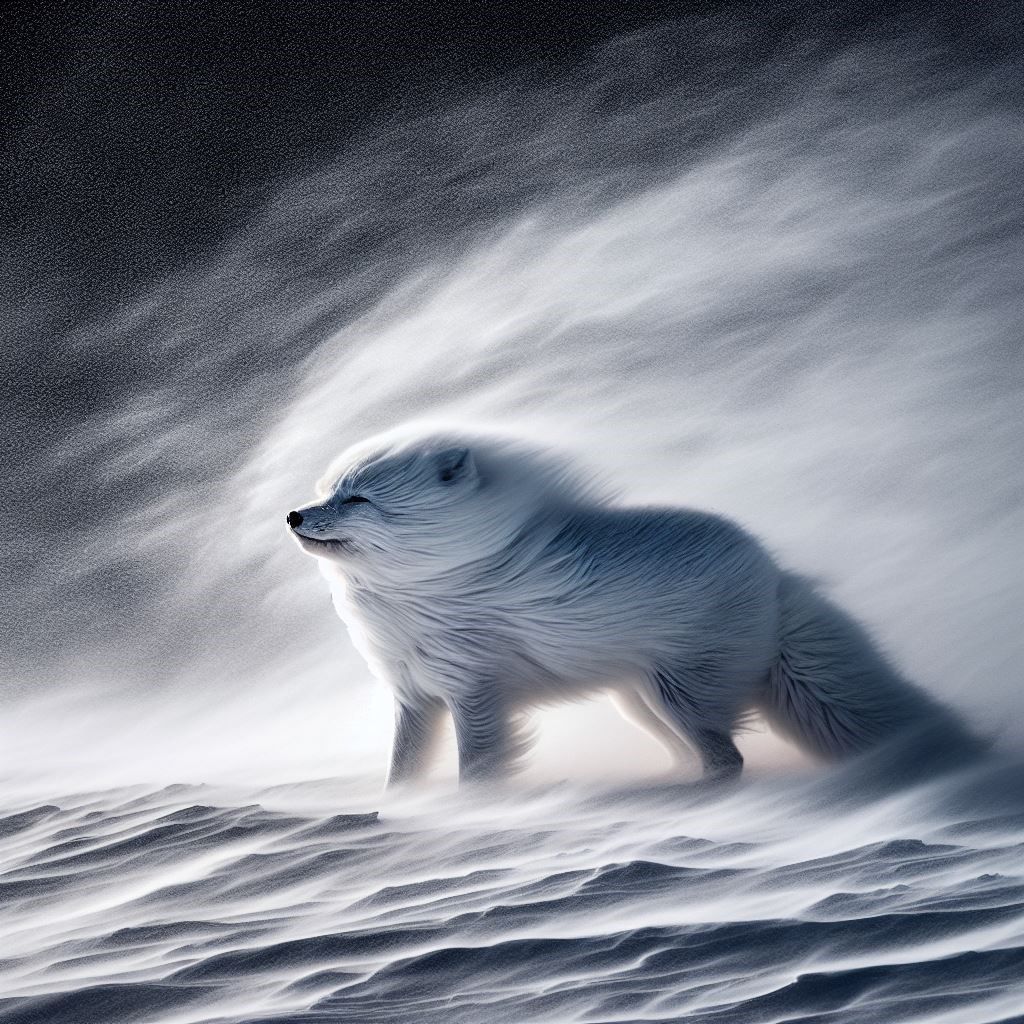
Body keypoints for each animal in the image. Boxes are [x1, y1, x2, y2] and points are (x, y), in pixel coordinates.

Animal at [288, 426, 974, 788]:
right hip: (640, 702)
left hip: (680, 697)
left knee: (727, 758)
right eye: (326, 492)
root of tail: (774, 574)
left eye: (357, 499)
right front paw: (403, 814)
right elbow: (402, 773)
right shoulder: (415, 696)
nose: (293, 514)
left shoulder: (474, 691)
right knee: (700, 754)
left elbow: (477, 768)